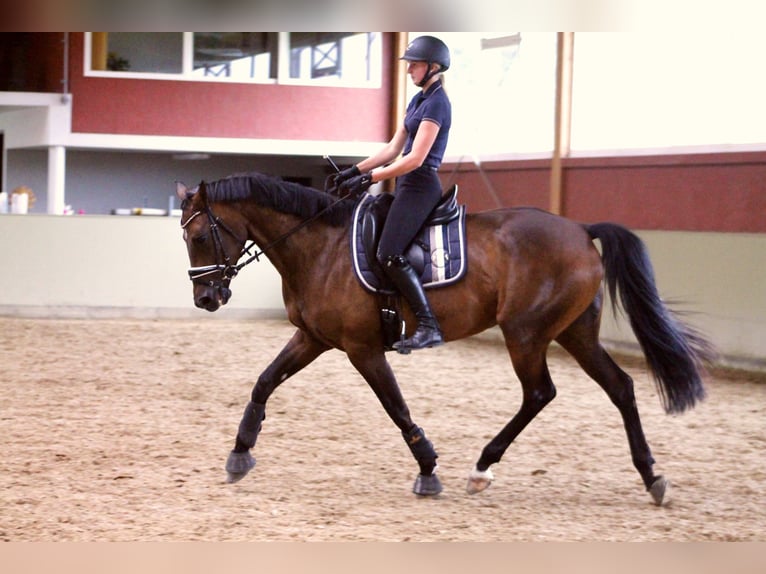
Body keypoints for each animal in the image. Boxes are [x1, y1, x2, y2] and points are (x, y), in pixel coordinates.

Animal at [177, 172, 716, 508]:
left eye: (200, 236)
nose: (206, 297)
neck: (320, 247)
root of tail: (581, 229)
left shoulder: (362, 349)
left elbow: (396, 408)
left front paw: (428, 468)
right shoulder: (312, 337)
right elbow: (265, 382)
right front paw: (239, 453)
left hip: (526, 333)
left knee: (540, 392)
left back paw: (482, 468)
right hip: (574, 332)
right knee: (620, 387)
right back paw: (652, 476)